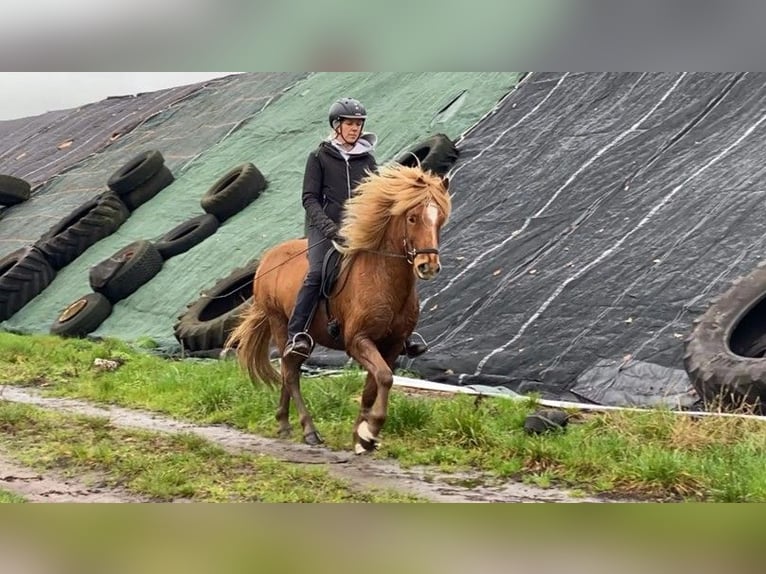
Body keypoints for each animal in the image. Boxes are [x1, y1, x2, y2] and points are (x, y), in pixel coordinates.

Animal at [228, 164, 456, 456]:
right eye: (412, 218)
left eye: (440, 219)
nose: (429, 266)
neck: (383, 279)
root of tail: (267, 259)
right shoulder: (358, 341)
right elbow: (384, 377)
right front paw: (371, 430)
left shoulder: (392, 345)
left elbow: (374, 385)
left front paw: (361, 436)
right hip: (280, 324)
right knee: (290, 373)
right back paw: (308, 430)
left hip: (307, 338)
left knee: (290, 370)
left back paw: (283, 423)